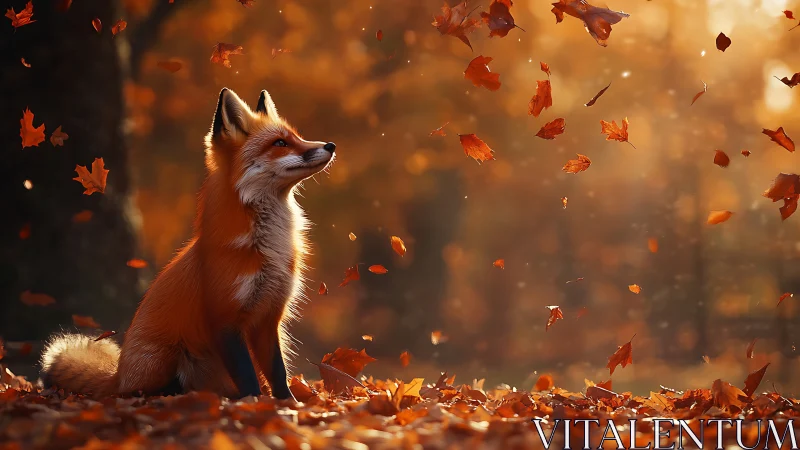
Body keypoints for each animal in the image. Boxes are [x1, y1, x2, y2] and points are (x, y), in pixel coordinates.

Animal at [40, 87, 335, 400]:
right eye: (279, 143)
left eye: (297, 136)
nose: (330, 145)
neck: (267, 248)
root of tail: (117, 376)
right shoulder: (225, 320)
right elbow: (248, 376)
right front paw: (254, 402)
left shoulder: (268, 318)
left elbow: (278, 373)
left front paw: (287, 403)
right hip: (167, 357)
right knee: (141, 390)